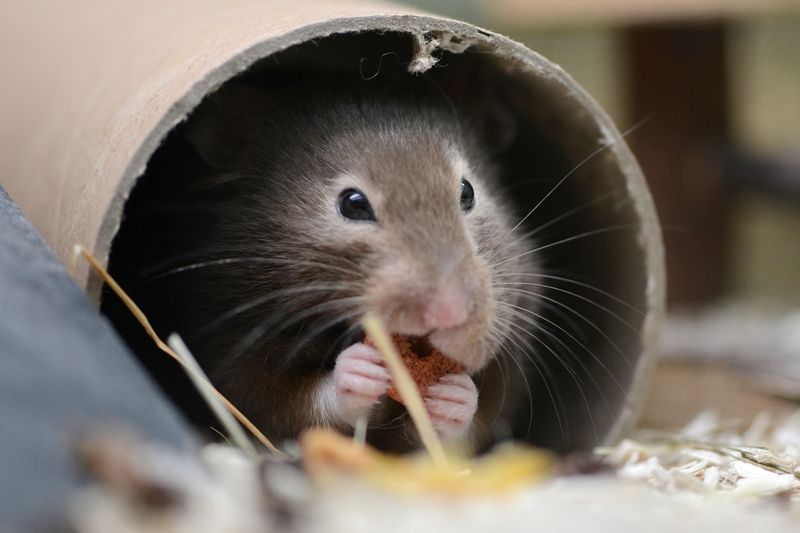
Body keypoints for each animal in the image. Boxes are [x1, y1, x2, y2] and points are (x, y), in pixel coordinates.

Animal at [107, 75, 539, 453]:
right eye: (353, 204)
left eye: (467, 192)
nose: (448, 314)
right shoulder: (229, 355)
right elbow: (301, 406)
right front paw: (362, 369)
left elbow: (467, 426)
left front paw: (454, 394)